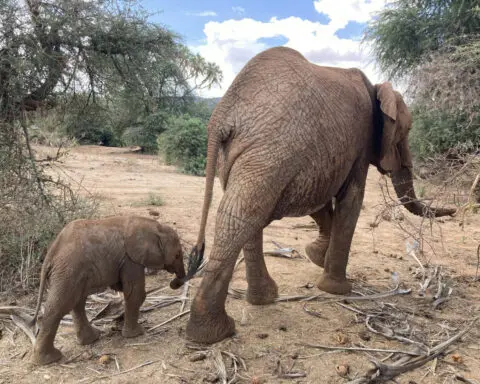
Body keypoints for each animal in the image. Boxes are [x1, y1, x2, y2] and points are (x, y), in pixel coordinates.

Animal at [30, 216, 188, 366]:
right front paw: (137, 334)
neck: (155, 226)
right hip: (68, 271)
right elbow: (135, 293)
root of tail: (51, 253)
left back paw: (91, 339)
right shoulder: (131, 259)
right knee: (60, 306)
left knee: (77, 302)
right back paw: (50, 359)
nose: (174, 283)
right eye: (177, 255)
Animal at [186, 46, 456, 344]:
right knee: (243, 215)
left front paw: (315, 256)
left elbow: (320, 199)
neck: (376, 88)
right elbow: (351, 199)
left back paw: (260, 301)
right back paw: (215, 332)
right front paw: (337, 289)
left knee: (246, 213)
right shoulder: (360, 140)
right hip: (273, 148)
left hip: (247, 153)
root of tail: (222, 116)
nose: (453, 211)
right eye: (406, 131)